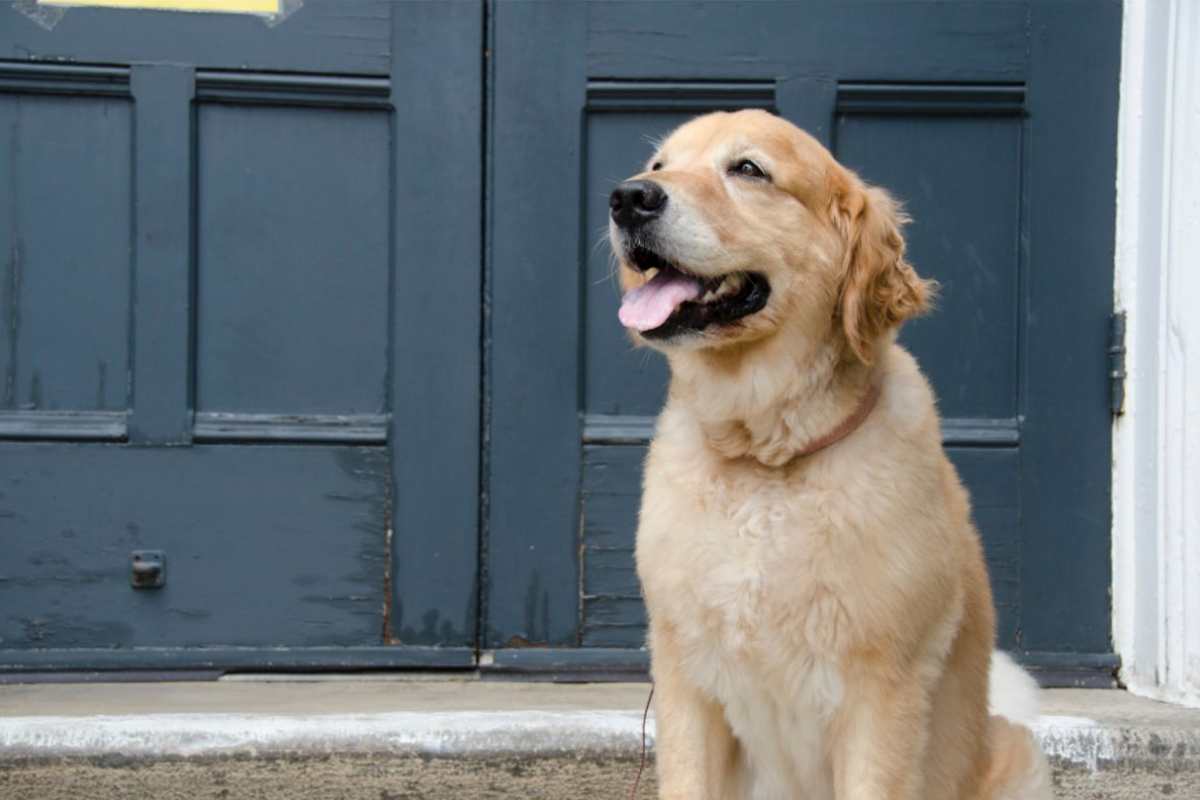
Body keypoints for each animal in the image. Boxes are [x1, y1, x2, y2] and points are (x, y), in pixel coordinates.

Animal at [609, 110, 1051, 800]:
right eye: (659, 166)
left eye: (748, 169)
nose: (628, 198)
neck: (765, 460)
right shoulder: (686, 684)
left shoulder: (881, 692)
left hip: (1019, 754)